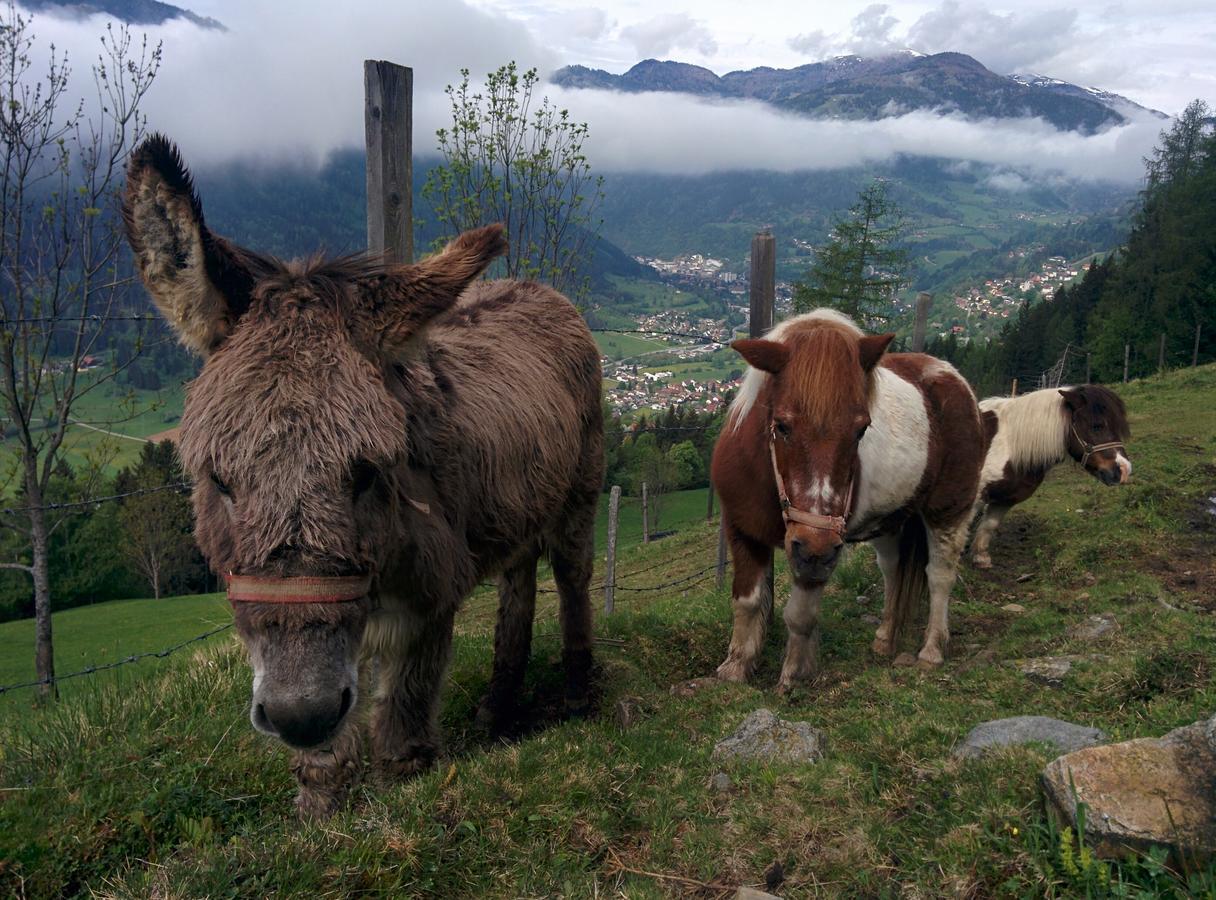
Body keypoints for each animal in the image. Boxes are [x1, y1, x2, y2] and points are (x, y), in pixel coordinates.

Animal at [120, 136, 605, 817]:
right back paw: (499, 706)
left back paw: (580, 691)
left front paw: (401, 785)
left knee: (572, 576)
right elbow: (326, 763)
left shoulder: (430, 594)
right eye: (218, 480)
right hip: (516, 505)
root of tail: (539, 290)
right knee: (518, 584)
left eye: (369, 472)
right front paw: (318, 808)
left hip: (581, 489)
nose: (299, 714)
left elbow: (401, 733)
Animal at [710, 308, 987, 690]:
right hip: (888, 523)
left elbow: (800, 615)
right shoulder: (744, 531)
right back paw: (884, 639)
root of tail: (953, 378)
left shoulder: (817, 555)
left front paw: (793, 674)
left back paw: (931, 650)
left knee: (940, 575)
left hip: (949, 510)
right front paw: (736, 666)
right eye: (782, 425)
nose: (815, 545)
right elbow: (747, 602)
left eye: (861, 429)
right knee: (892, 572)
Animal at [967, 384, 1128, 566]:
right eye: (1097, 426)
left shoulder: (1005, 498)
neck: (1007, 445)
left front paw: (981, 557)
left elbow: (989, 525)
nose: (1124, 470)